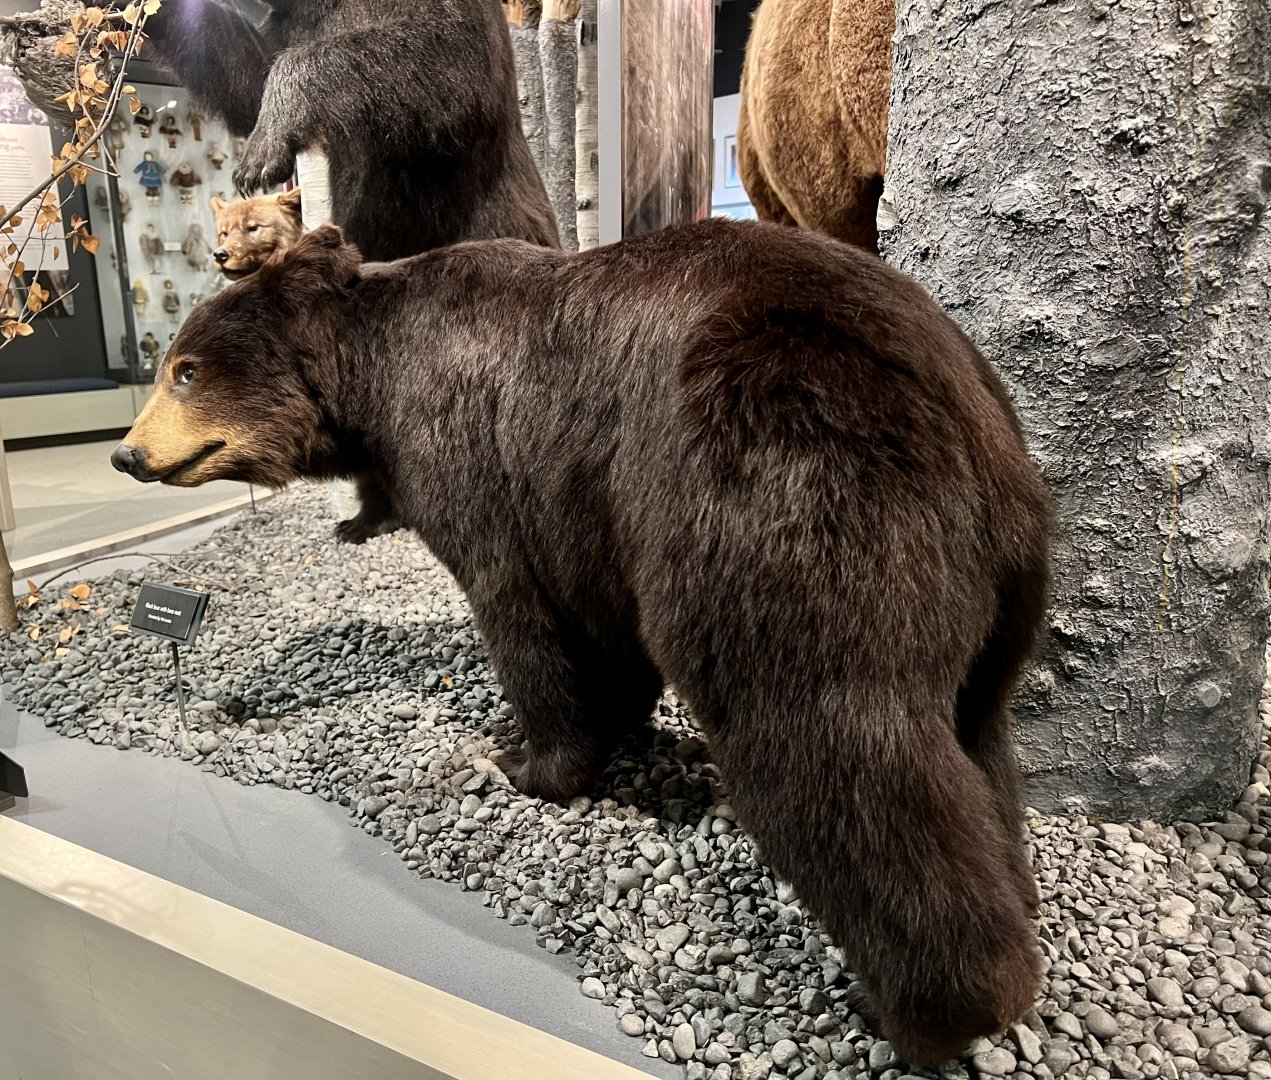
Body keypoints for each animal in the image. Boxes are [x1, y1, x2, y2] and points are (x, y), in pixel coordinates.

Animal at [110, 220, 1051, 1066]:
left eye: (185, 370)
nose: (125, 454)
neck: (375, 376)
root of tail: (959, 401)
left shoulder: (479, 459)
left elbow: (518, 615)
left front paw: (521, 758)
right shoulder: (585, 508)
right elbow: (605, 636)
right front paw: (608, 727)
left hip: (782, 488)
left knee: (831, 732)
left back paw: (927, 1009)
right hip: (1002, 579)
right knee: (980, 738)